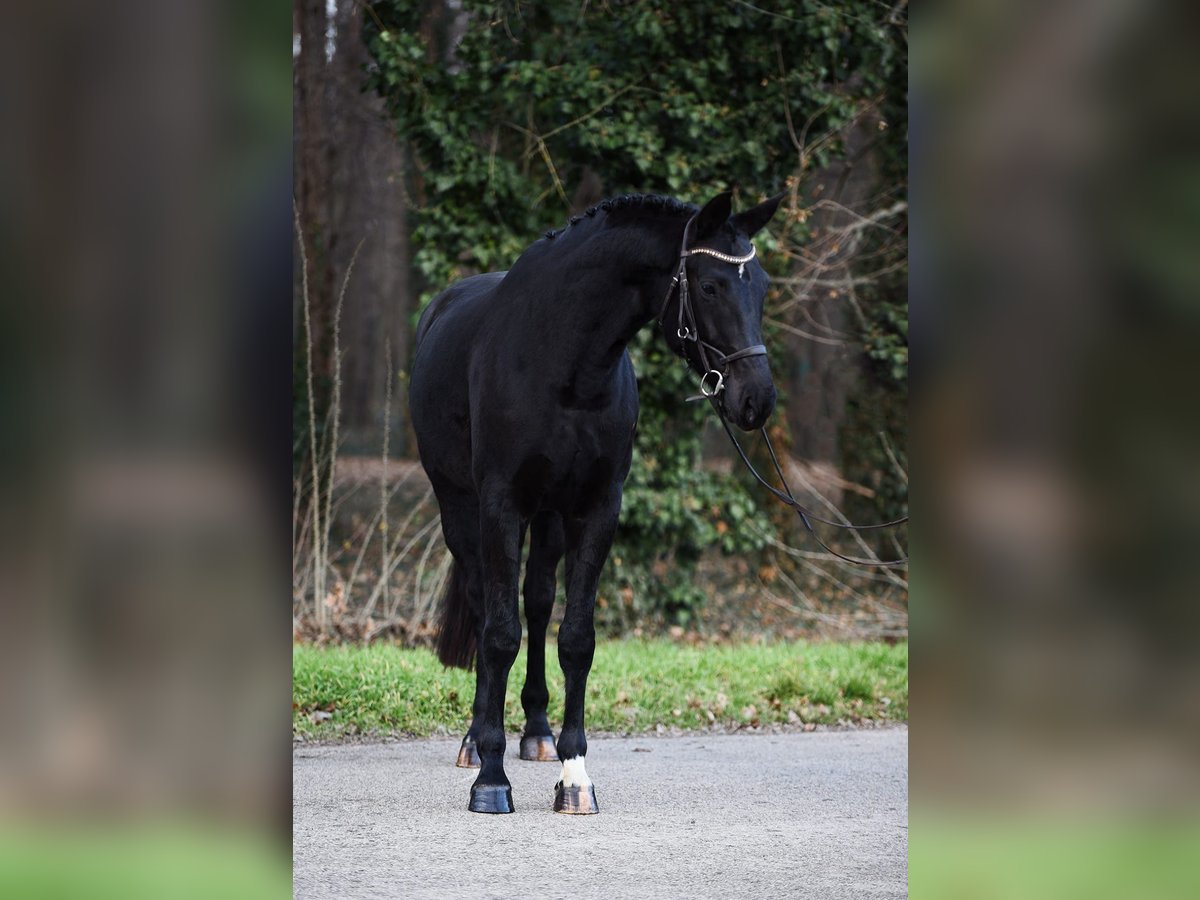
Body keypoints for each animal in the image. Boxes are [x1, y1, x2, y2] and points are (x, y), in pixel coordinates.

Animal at [410, 190, 787, 816]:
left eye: (760, 284)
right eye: (710, 286)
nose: (756, 399)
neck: (563, 365)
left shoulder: (596, 510)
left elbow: (576, 639)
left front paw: (574, 775)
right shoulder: (499, 507)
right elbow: (498, 633)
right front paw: (491, 779)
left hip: (549, 519)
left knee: (538, 602)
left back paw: (536, 733)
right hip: (459, 509)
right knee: (487, 606)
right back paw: (476, 737)